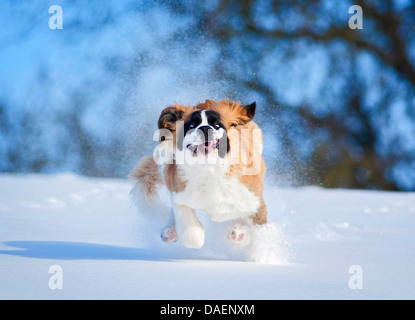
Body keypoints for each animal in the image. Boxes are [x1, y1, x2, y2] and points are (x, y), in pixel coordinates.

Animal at [129, 99, 266, 249]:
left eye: (217, 125)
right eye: (191, 125)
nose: (205, 128)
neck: (208, 169)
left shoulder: (253, 200)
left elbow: (257, 229)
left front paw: (240, 233)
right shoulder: (180, 194)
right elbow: (192, 235)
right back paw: (170, 231)